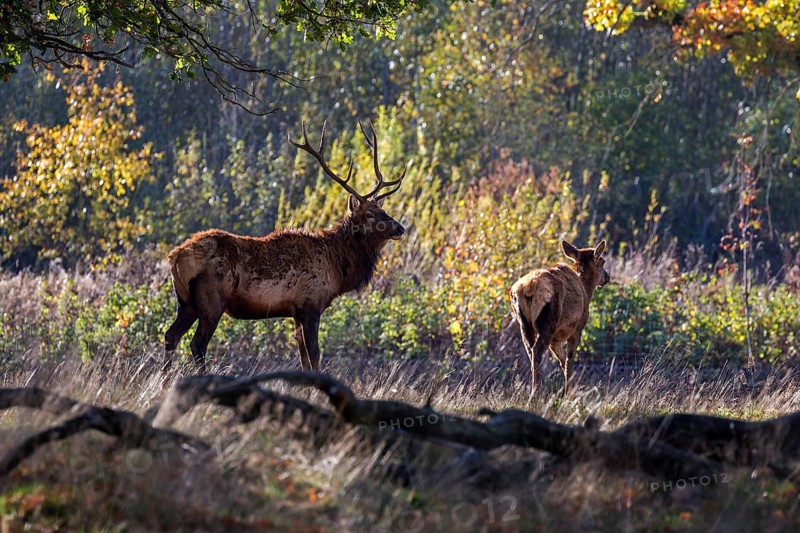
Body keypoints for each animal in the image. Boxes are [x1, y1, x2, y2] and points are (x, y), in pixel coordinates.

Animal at [164, 122, 408, 373]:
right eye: (370, 214)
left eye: (383, 210)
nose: (400, 228)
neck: (337, 268)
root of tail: (175, 257)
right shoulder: (310, 305)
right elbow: (315, 355)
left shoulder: (296, 313)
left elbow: (304, 359)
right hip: (212, 300)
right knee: (197, 344)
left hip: (186, 302)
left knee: (170, 336)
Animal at [510, 240, 610, 396]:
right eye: (602, 261)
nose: (607, 277)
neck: (586, 290)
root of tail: (527, 290)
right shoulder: (577, 330)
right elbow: (569, 361)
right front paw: (568, 393)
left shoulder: (555, 340)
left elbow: (562, 361)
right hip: (548, 323)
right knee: (537, 352)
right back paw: (536, 393)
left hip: (524, 325)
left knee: (531, 352)